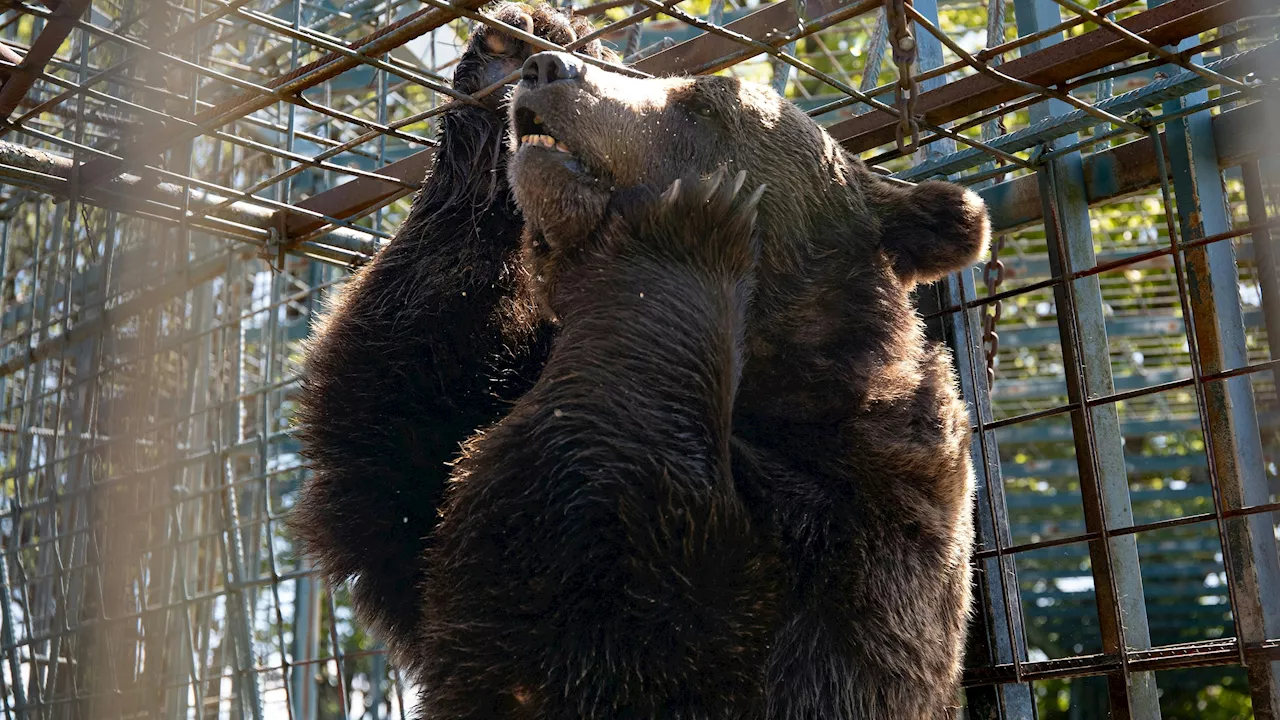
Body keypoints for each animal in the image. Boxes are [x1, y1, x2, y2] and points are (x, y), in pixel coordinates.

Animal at [293, 7, 988, 717]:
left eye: (702, 104)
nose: (547, 72)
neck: (778, 385)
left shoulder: (868, 540)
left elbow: (626, 609)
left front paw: (682, 227)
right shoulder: (461, 427)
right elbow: (397, 437)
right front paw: (512, 45)